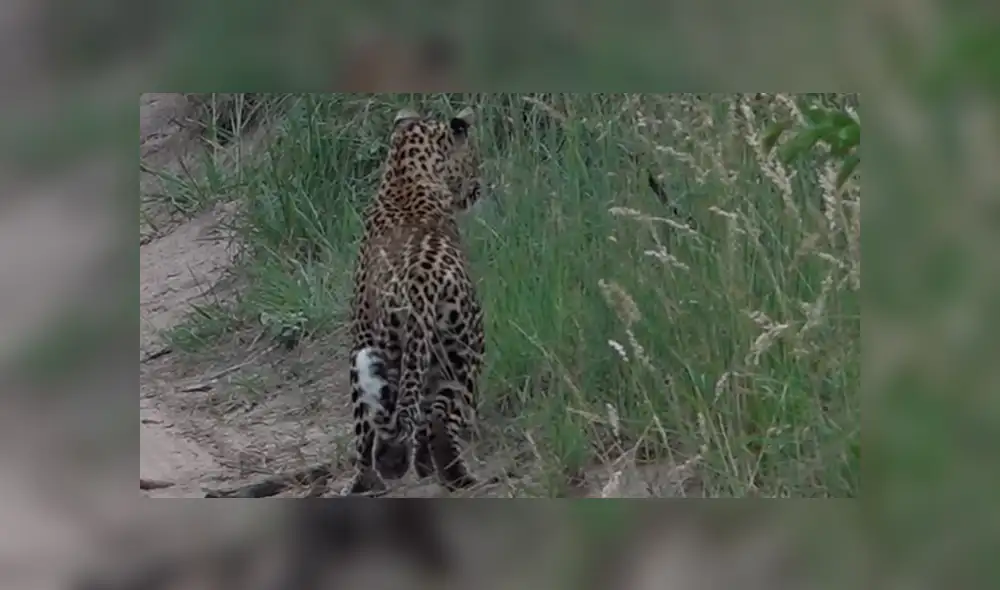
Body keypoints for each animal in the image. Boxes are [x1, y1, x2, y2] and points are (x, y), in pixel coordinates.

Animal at [343, 106, 486, 496]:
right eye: (474, 158)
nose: (479, 187)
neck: (404, 173)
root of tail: (420, 288)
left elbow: (368, 424)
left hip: (401, 349)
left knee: (400, 419)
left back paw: (391, 469)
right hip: (465, 348)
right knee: (438, 416)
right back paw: (452, 476)